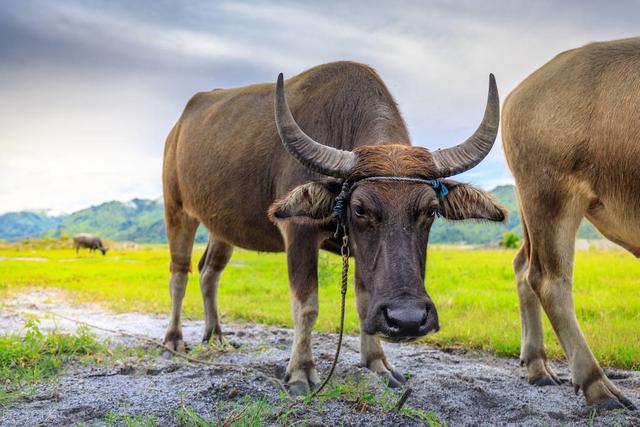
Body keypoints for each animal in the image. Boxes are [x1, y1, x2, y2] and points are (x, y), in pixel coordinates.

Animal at [162, 61, 508, 394]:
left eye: (431, 209)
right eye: (360, 208)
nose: (408, 320)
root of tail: (176, 129)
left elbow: (364, 302)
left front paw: (377, 363)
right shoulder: (298, 233)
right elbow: (306, 306)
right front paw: (300, 372)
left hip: (222, 227)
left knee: (209, 271)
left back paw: (215, 335)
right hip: (177, 209)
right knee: (179, 274)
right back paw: (174, 339)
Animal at [504, 37, 640, 412]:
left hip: (530, 206)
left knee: (522, 265)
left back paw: (538, 367)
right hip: (551, 197)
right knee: (550, 279)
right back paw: (599, 387)